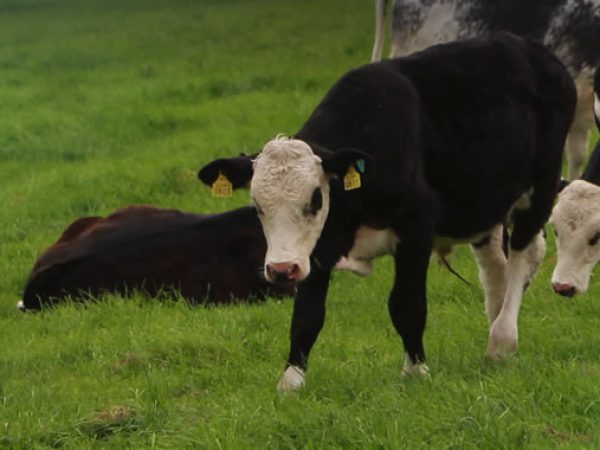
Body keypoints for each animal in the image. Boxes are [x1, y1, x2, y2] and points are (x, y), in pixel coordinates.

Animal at [198, 34, 576, 390]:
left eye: (315, 199)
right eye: (257, 206)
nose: (280, 270)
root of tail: (532, 49)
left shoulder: (417, 230)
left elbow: (407, 305)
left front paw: (416, 371)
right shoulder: (317, 249)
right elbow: (307, 316)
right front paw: (291, 380)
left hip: (540, 188)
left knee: (522, 258)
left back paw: (502, 339)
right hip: (485, 208)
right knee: (496, 270)